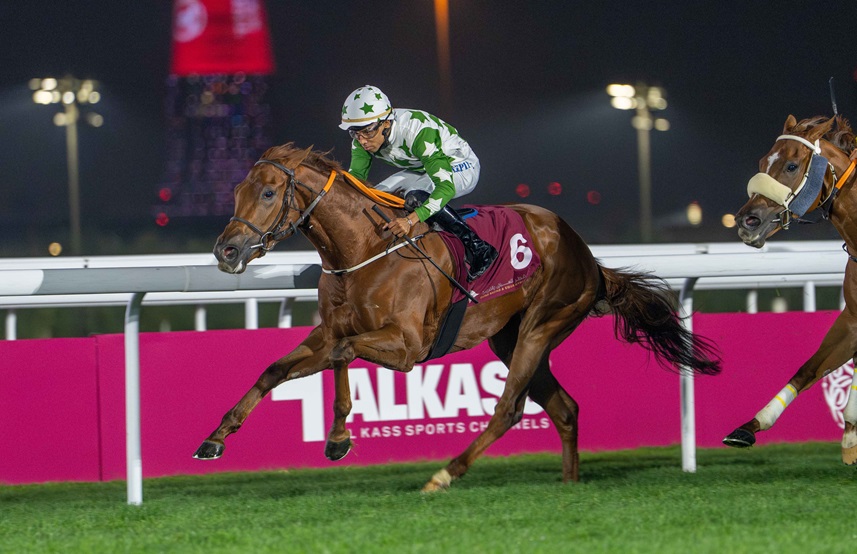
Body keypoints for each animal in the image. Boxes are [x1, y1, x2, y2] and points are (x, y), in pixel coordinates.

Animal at [194, 142, 721, 492]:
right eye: (237, 189)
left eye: (267, 193)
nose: (226, 250)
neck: (364, 250)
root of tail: (588, 255)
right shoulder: (328, 332)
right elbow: (275, 369)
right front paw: (214, 440)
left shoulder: (407, 346)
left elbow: (344, 355)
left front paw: (339, 438)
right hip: (509, 338)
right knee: (565, 408)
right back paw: (569, 485)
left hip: (542, 324)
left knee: (510, 408)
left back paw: (444, 474)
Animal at [726, 114, 857, 465]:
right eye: (762, 162)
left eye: (791, 166)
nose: (747, 221)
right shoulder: (852, 318)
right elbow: (809, 368)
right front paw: (750, 426)